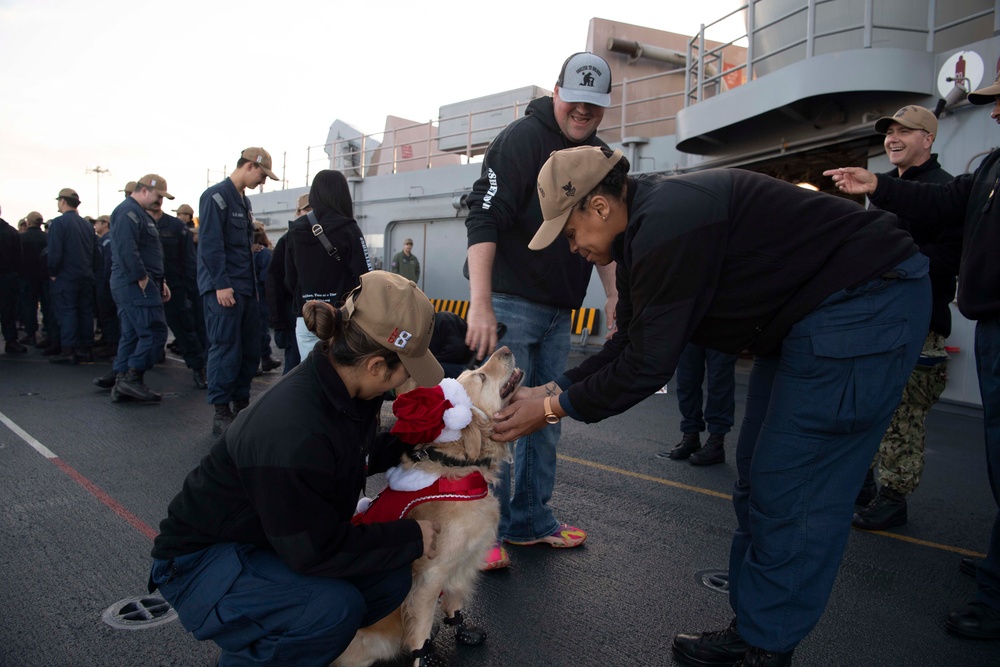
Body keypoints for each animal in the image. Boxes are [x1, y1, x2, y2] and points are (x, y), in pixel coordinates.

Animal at [336, 348, 524, 664]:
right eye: (481, 376)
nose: (506, 349)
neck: (458, 467)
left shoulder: (466, 560)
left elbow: (455, 600)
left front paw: (461, 628)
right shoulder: (429, 575)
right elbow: (421, 625)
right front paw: (424, 655)